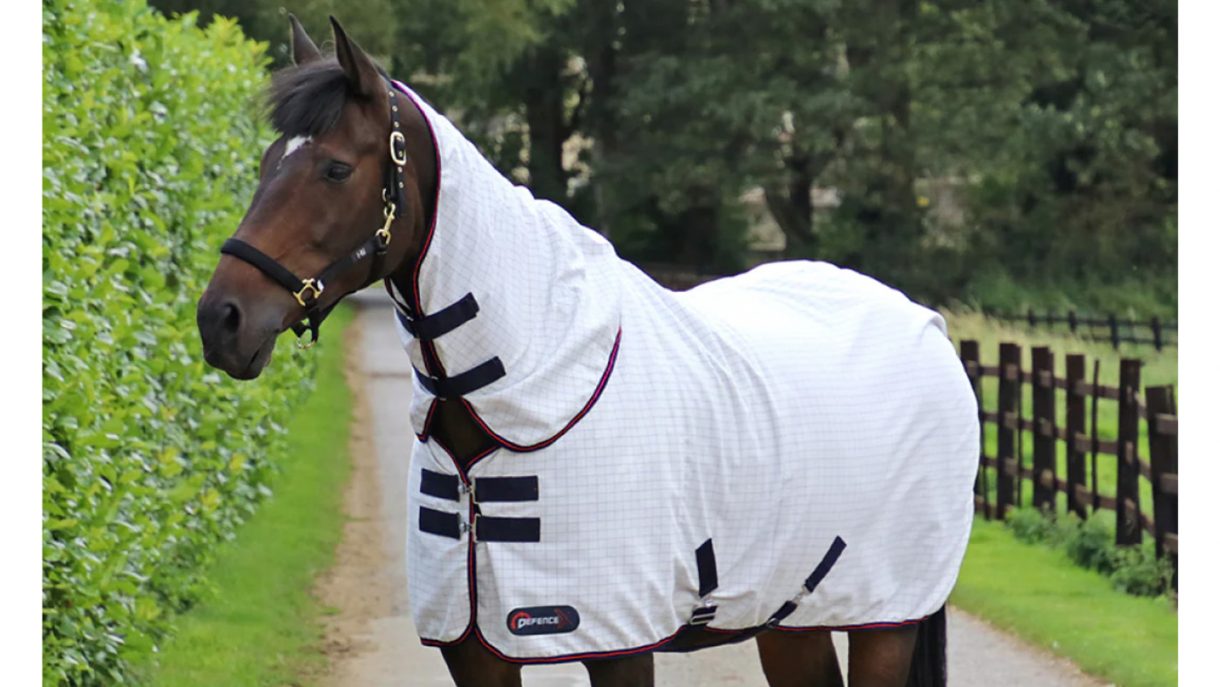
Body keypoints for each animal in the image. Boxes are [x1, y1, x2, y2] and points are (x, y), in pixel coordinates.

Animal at [197, 16, 978, 687]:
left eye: (333, 169)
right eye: (266, 162)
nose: (220, 320)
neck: (536, 371)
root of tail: (927, 324)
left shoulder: (617, 639)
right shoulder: (472, 646)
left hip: (884, 619)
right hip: (790, 618)